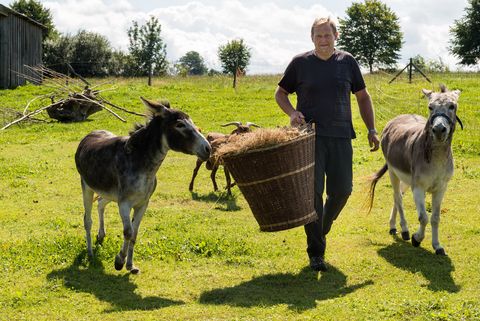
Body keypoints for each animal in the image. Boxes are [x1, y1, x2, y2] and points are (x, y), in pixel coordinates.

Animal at [75, 97, 210, 272]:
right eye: (180, 125)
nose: (208, 149)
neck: (143, 165)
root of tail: (90, 134)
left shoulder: (142, 203)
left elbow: (135, 233)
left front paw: (130, 265)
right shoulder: (124, 204)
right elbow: (128, 231)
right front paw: (119, 261)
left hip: (109, 194)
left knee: (100, 204)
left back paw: (101, 235)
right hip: (87, 187)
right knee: (87, 220)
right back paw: (90, 253)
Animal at [368, 85, 462, 255]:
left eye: (452, 106)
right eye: (430, 107)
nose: (439, 130)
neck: (437, 157)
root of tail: (398, 117)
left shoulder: (441, 188)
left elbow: (435, 218)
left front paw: (437, 245)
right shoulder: (418, 187)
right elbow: (423, 217)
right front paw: (416, 238)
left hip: (406, 178)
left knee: (398, 196)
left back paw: (393, 226)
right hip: (393, 172)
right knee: (397, 197)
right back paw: (404, 230)